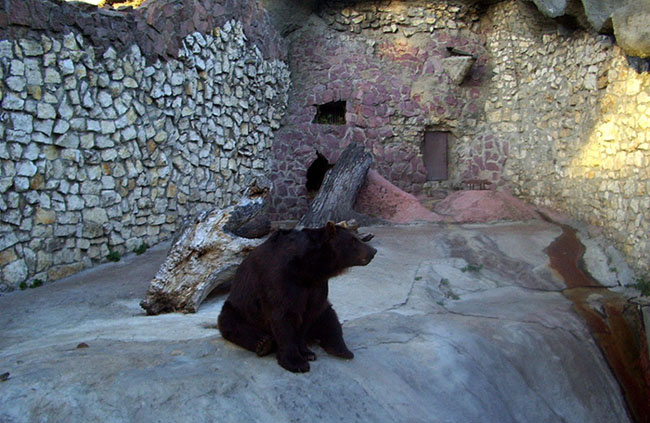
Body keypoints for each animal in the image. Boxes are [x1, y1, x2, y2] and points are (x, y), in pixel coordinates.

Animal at [218, 221, 377, 373]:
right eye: (353, 240)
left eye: (356, 238)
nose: (373, 251)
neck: (306, 269)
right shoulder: (279, 279)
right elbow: (282, 316)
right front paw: (296, 362)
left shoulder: (315, 286)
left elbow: (308, 316)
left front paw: (306, 353)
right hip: (239, 308)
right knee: (231, 322)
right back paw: (263, 343)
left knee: (330, 318)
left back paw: (341, 349)